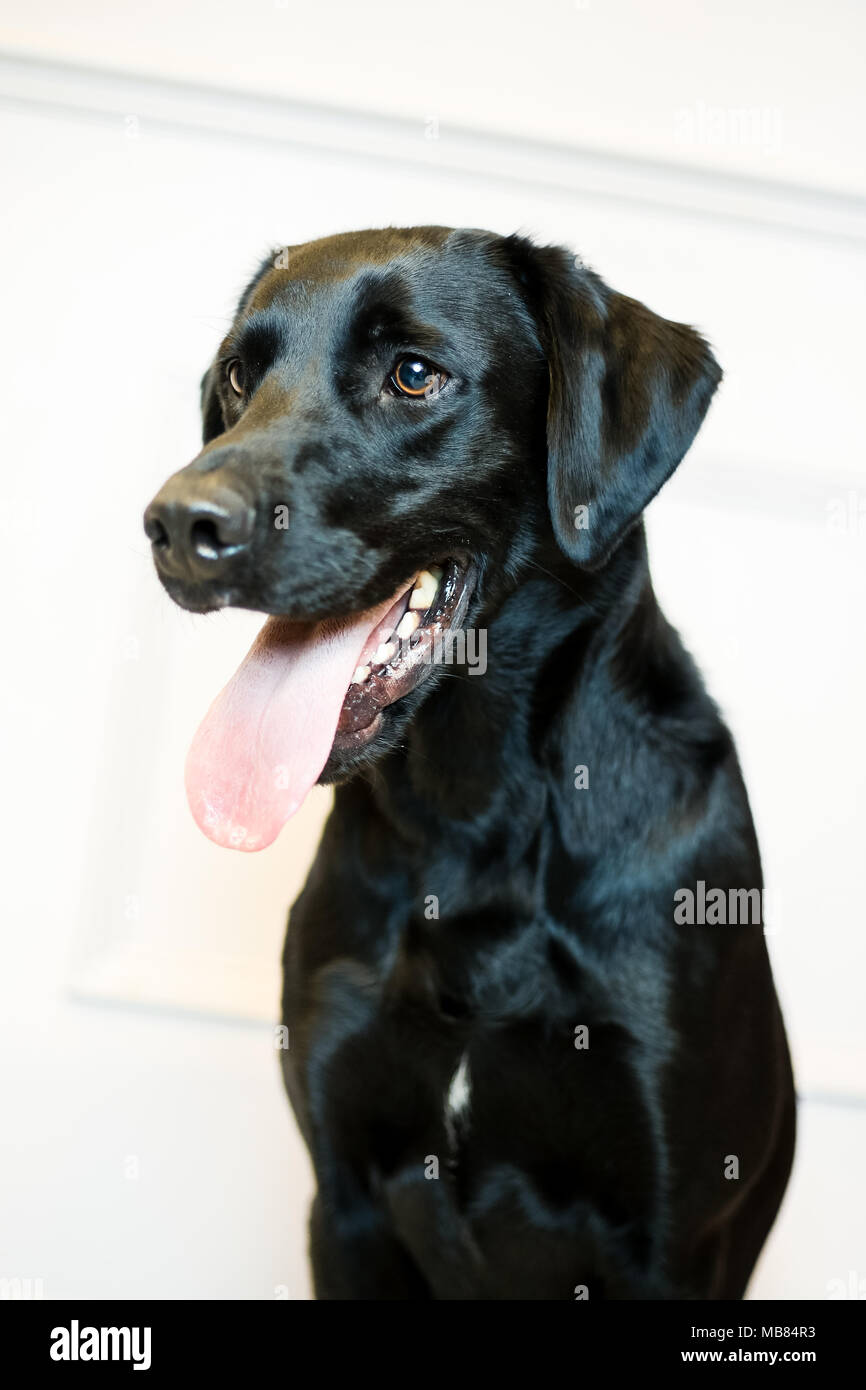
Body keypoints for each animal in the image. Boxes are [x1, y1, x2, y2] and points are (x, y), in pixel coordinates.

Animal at [145, 222, 795, 1295]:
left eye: (415, 374)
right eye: (241, 375)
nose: (175, 525)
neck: (475, 812)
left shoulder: (672, 1241)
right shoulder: (345, 1198)